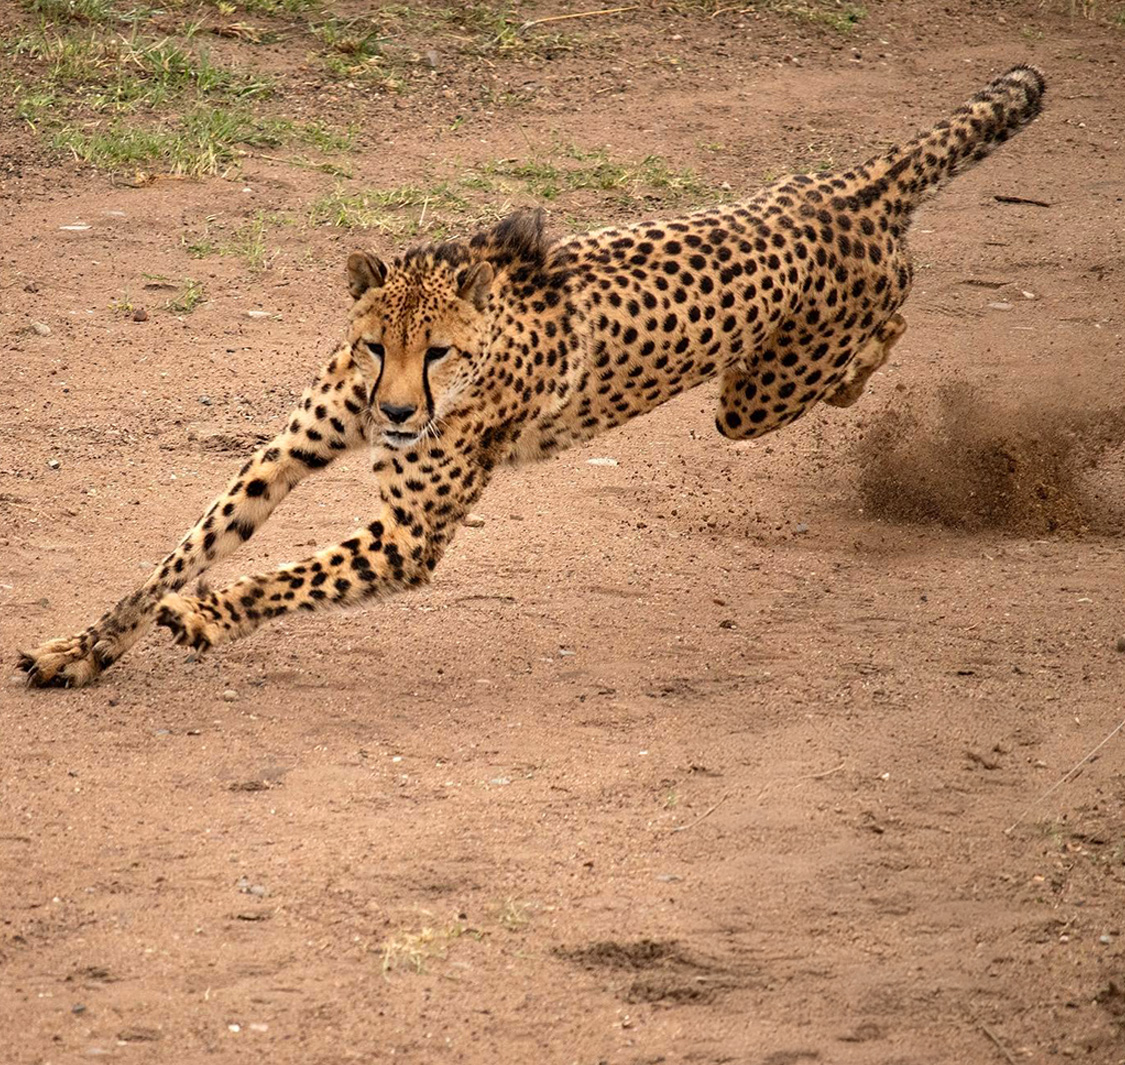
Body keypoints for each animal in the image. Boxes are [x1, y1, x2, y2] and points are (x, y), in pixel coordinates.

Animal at [18, 65, 1046, 688]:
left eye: (438, 351)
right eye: (375, 346)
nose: (398, 411)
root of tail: (849, 183)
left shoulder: (407, 538)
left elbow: (285, 576)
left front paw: (209, 615)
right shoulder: (288, 448)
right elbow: (183, 547)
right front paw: (83, 647)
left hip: (752, 397)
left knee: (887, 328)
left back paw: (872, 385)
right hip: (754, 388)